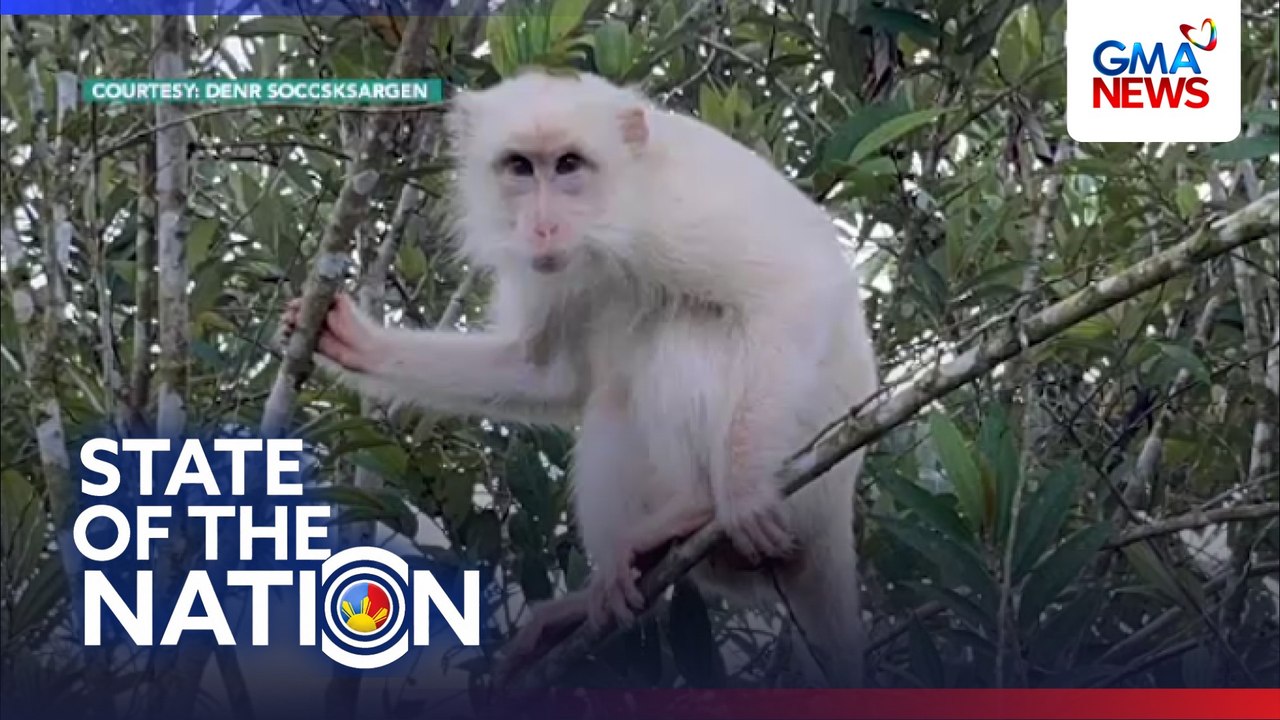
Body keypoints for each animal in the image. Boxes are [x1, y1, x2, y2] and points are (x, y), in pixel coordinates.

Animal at [280, 70, 879, 688]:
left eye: (568, 164)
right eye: (520, 167)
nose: (543, 227)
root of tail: (836, 524)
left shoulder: (677, 213)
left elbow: (797, 286)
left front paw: (741, 489)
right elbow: (549, 374)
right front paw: (357, 343)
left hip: (805, 478)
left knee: (683, 331)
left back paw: (700, 506)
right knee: (613, 399)